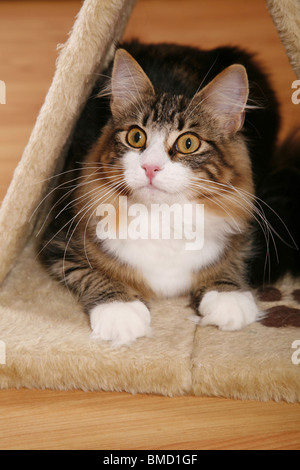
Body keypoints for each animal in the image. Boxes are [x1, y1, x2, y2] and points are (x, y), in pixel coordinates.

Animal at [38, 41, 300, 346]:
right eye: (136, 137)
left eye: (188, 143)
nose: (150, 167)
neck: (163, 216)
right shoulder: (59, 241)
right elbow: (94, 273)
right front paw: (120, 310)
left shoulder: (242, 228)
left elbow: (233, 259)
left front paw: (228, 295)